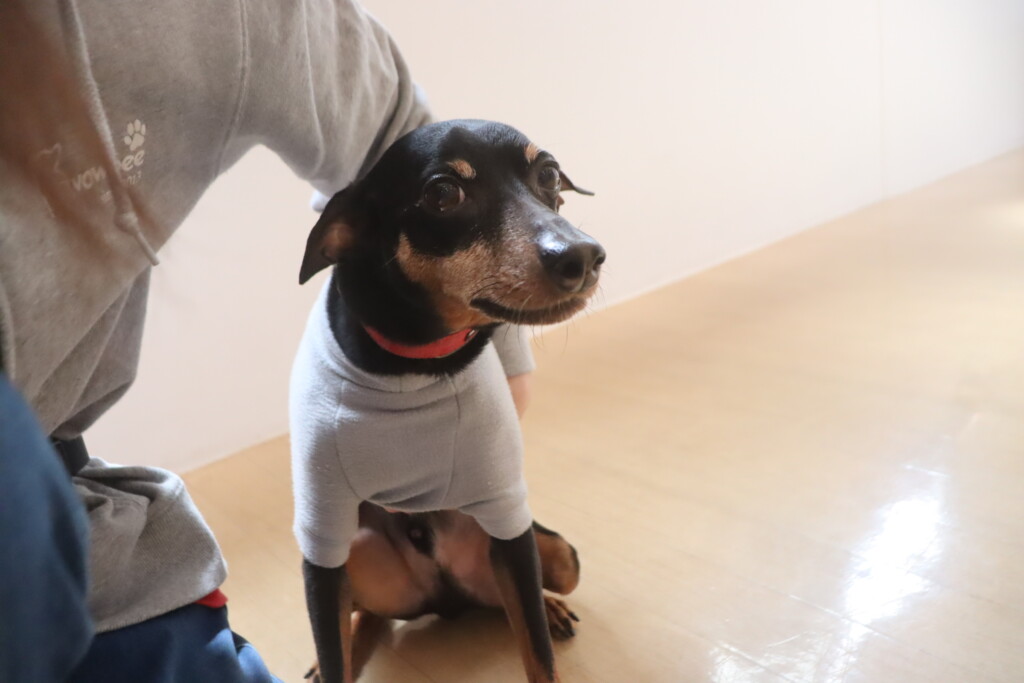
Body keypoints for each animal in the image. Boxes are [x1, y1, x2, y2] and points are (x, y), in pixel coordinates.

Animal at [291, 119, 604, 683]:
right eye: (443, 194)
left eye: (549, 174)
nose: (583, 256)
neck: (414, 364)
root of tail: (447, 602)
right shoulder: (320, 538)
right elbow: (330, 641)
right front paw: (330, 659)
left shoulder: (507, 511)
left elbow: (537, 653)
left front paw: (542, 623)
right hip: (355, 551)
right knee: (364, 614)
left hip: (547, 552)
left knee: (519, 598)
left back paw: (550, 608)